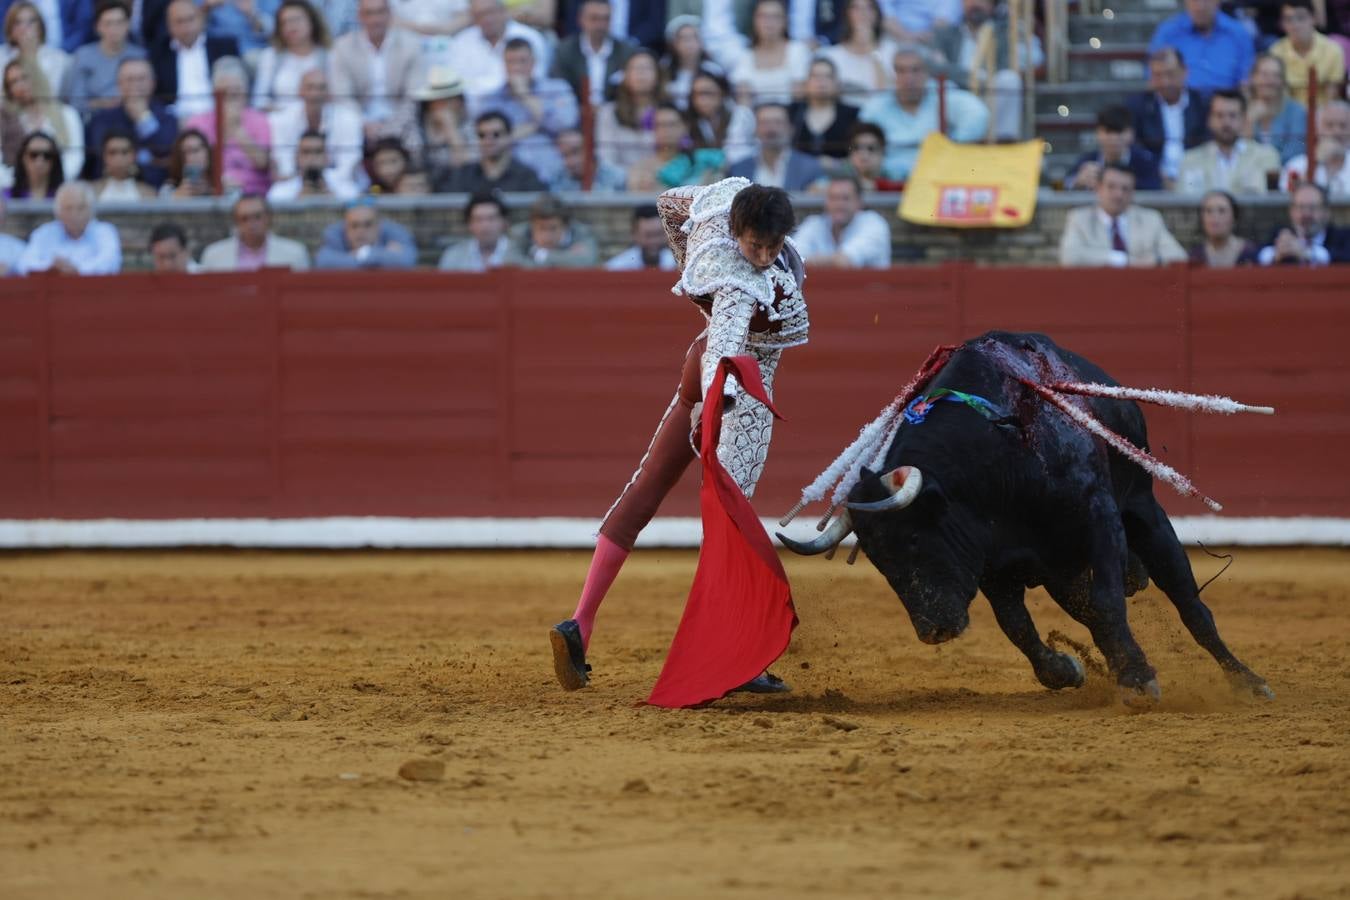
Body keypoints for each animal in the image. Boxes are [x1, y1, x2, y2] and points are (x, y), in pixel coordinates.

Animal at [783, 334, 1274, 707]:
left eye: (915, 541)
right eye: (879, 562)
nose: (933, 630)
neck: (994, 464)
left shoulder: (1099, 520)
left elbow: (1109, 602)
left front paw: (1137, 680)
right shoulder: (992, 562)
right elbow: (1016, 625)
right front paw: (1068, 669)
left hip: (1142, 509)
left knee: (1190, 604)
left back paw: (1248, 681)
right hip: (1061, 571)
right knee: (1090, 612)